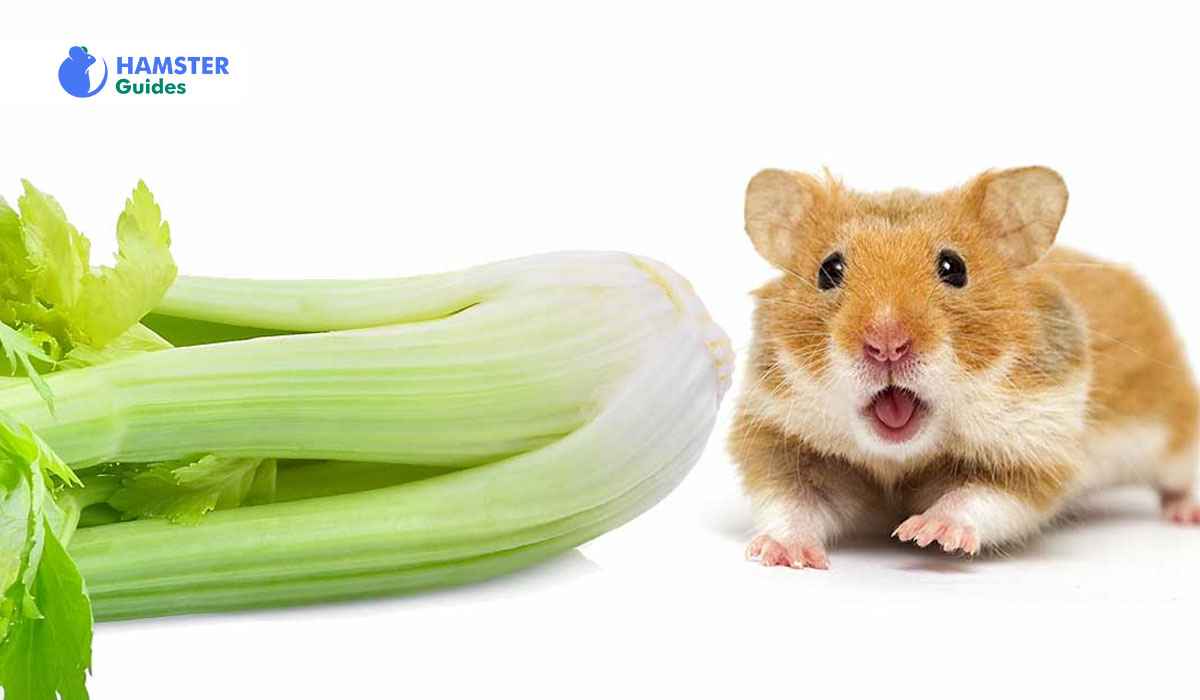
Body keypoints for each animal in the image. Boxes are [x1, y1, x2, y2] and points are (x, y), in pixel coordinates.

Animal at [730, 166, 1199, 568]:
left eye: (953, 267)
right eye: (829, 270)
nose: (887, 343)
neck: (899, 457)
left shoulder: (1033, 450)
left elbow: (978, 496)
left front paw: (927, 532)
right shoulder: (784, 439)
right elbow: (793, 502)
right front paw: (783, 554)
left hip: (1177, 432)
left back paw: (1185, 513)